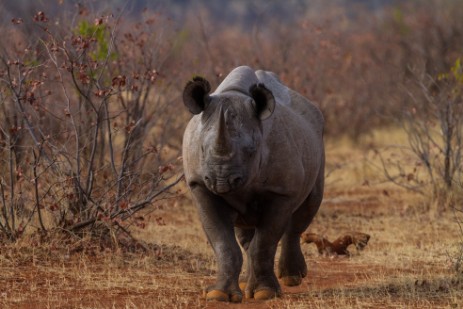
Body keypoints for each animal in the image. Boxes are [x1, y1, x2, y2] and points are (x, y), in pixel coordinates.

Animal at [182, 65, 326, 300]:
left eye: (251, 150)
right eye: (202, 148)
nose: (220, 180)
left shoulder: (281, 191)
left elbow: (265, 242)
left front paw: (265, 294)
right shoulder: (200, 185)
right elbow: (223, 243)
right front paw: (219, 295)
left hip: (317, 141)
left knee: (308, 206)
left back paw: (291, 278)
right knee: (246, 232)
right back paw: (248, 285)